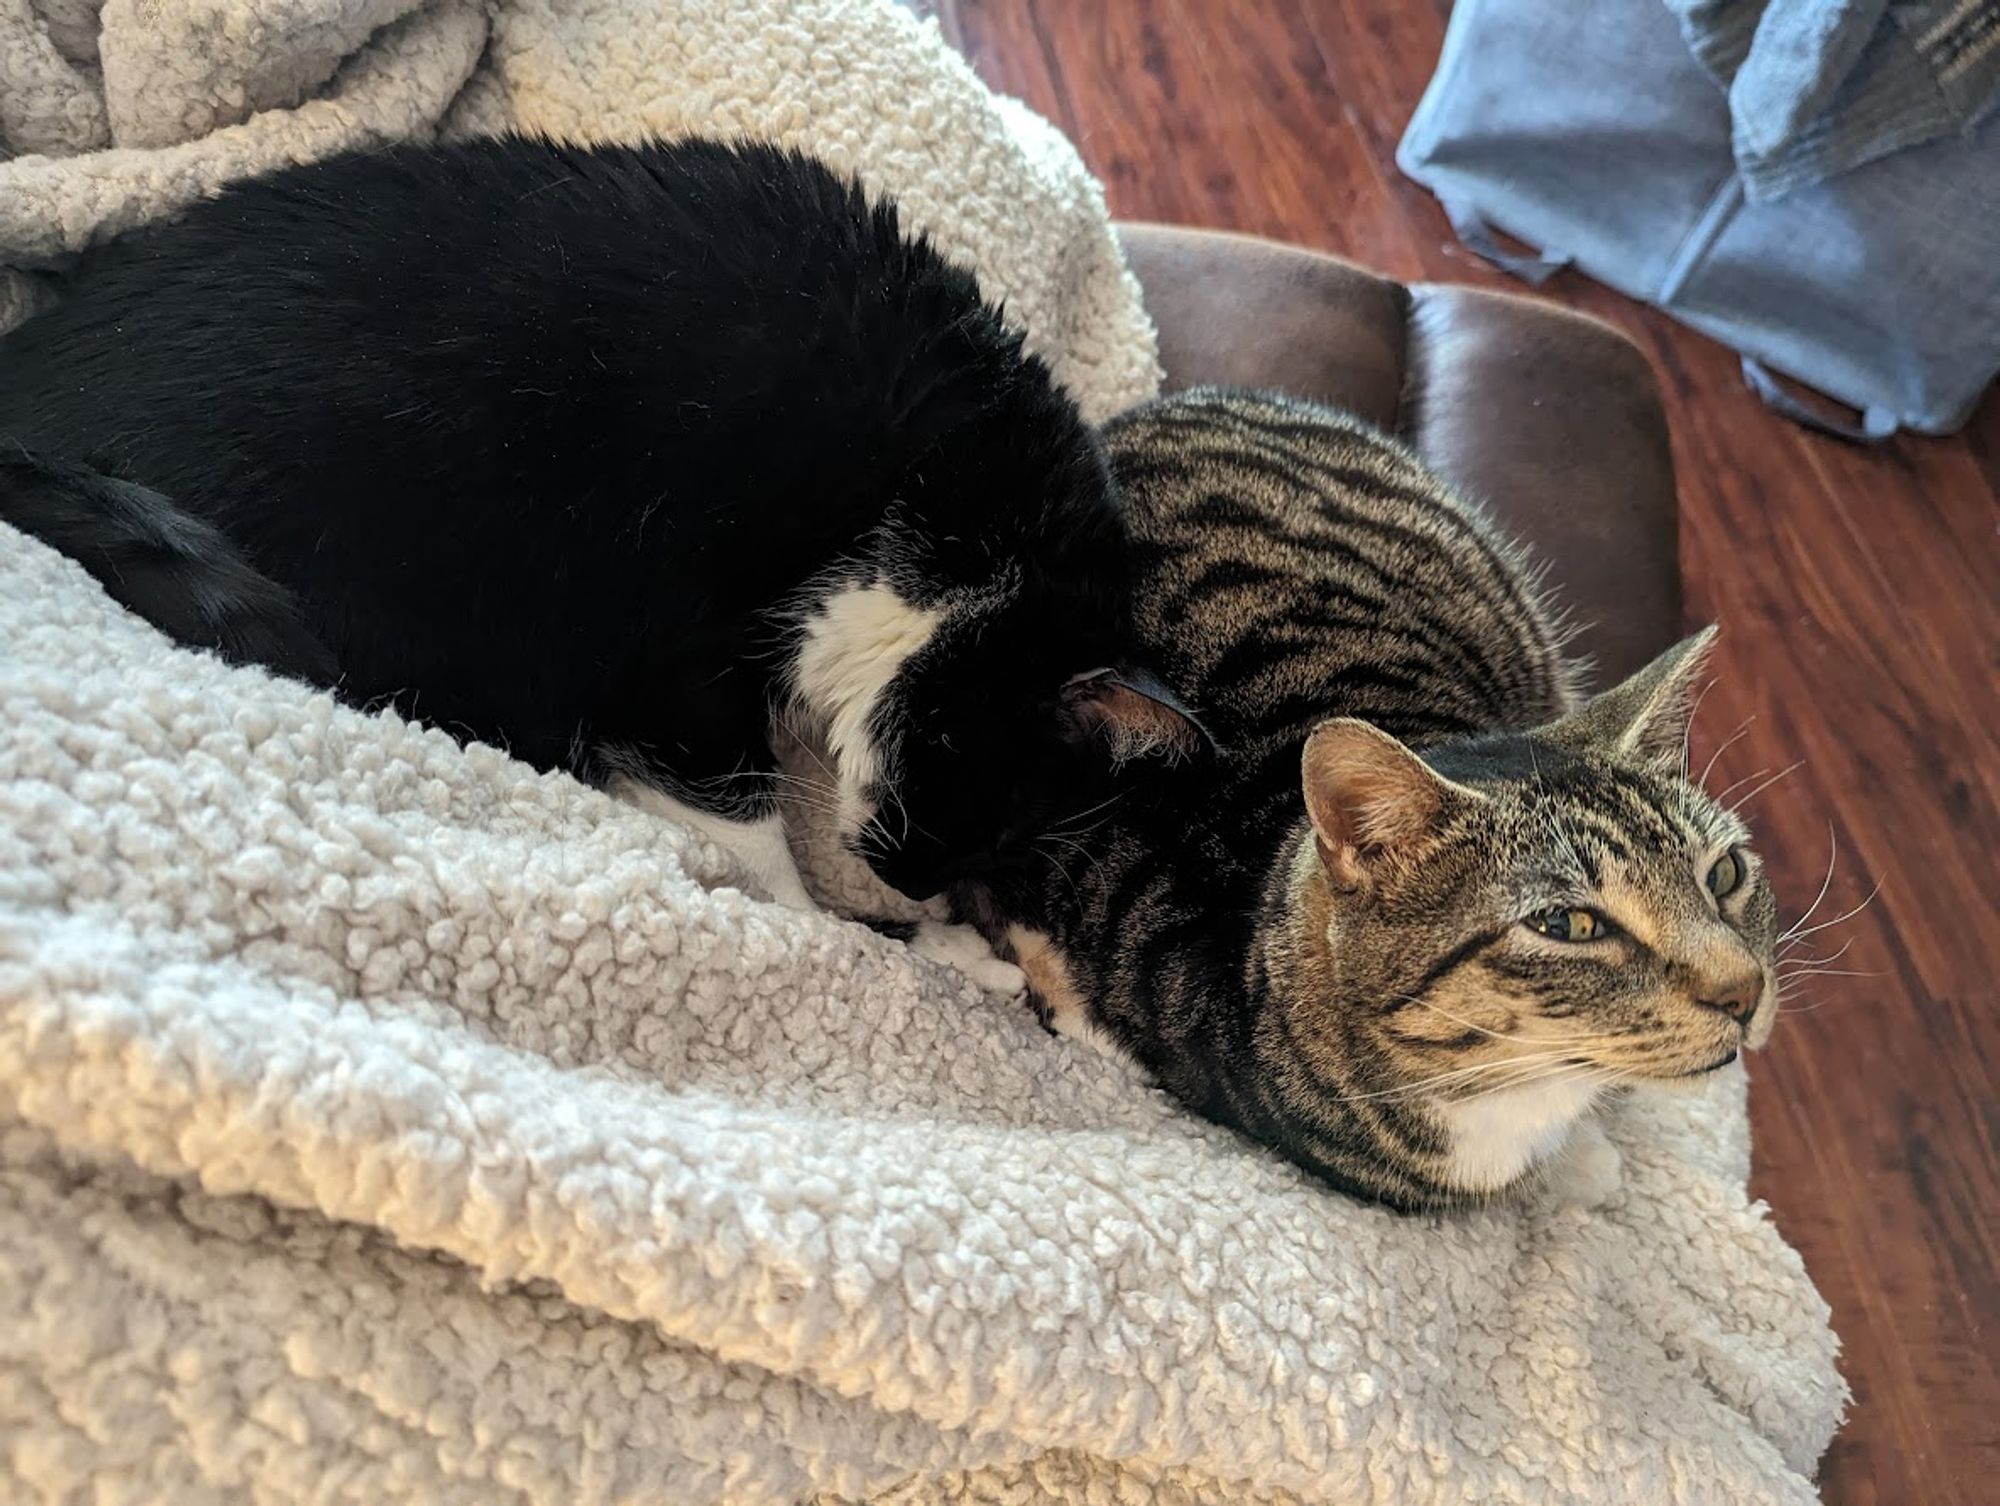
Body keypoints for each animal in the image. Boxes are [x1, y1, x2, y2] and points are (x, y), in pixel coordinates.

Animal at [0, 129, 1200, 952]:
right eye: (996, 811)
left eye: (1005, 842)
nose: (917, 887)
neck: (933, 499)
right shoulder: (672, 658)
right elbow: (754, 828)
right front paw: (862, 934)